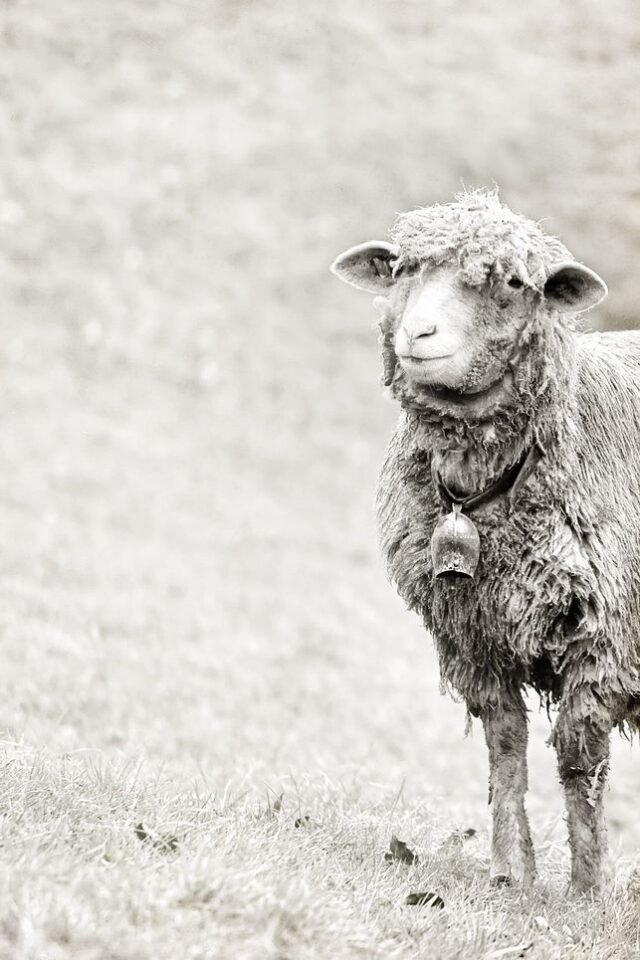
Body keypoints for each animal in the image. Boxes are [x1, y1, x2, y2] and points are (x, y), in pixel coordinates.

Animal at [331, 189, 640, 894]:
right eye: (401, 270)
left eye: (515, 284)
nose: (418, 334)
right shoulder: (473, 634)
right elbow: (506, 748)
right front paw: (511, 872)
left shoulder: (607, 638)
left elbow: (580, 759)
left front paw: (588, 887)